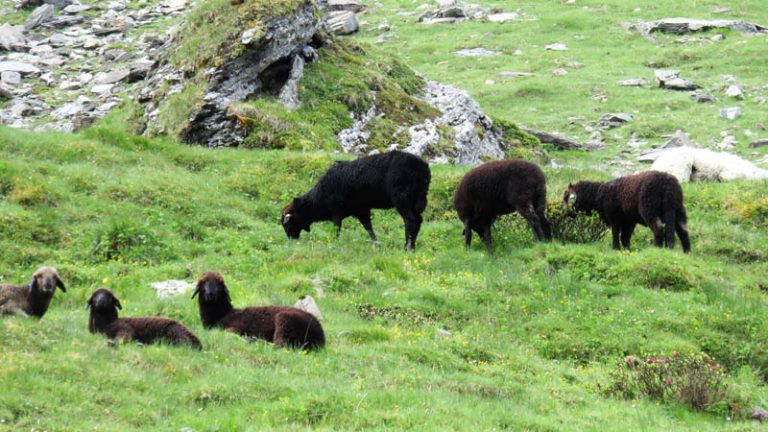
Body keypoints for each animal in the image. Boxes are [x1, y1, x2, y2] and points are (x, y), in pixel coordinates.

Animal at [194, 274, 326, 352]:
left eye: (219, 285)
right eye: (203, 284)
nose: (210, 294)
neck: (223, 314)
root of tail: (320, 338)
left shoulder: (235, 328)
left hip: (284, 320)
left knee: (280, 346)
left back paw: (253, 340)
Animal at [280, 151, 432, 250]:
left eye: (287, 224)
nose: (291, 241)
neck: (317, 198)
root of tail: (423, 169)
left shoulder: (336, 210)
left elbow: (337, 228)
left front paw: (335, 243)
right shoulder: (362, 210)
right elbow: (369, 228)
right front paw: (376, 243)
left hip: (402, 198)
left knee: (410, 220)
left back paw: (408, 247)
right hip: (418, 199)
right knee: (418, 220)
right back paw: (412, 246)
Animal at [560, 171, 692, 253]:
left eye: (567, 199)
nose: (563, 213)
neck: (599, 195)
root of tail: (668, 184)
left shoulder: (614, 218)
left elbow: (615, 234)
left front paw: (615, 249)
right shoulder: (629, 221)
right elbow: (625, 237)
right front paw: (628, 250)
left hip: (649, 209)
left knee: (659, 228)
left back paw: (657, 248)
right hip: (677, 209)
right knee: (683, 230)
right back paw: (686, 252)